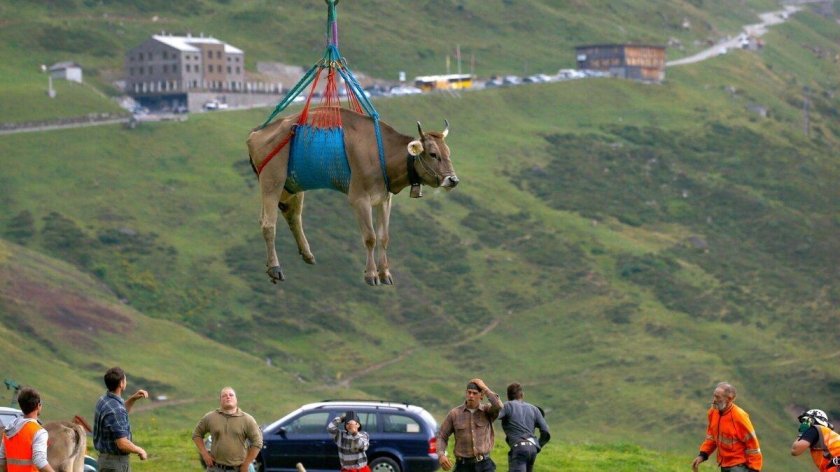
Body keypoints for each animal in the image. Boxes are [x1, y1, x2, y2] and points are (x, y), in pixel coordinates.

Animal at [247, 107, 459, 285]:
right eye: (433, 154)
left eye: (448, 152)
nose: (453, 180)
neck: (381, 153)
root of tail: (257, 133)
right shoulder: (359, 198)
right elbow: (370, 237)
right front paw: (371, 274)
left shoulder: (384, 199)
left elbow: (384, 237)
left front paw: (385, 273)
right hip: (272, 180)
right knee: (268, 224)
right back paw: (275, 268)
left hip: (293, 184)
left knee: (293, 216)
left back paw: (306, 254)